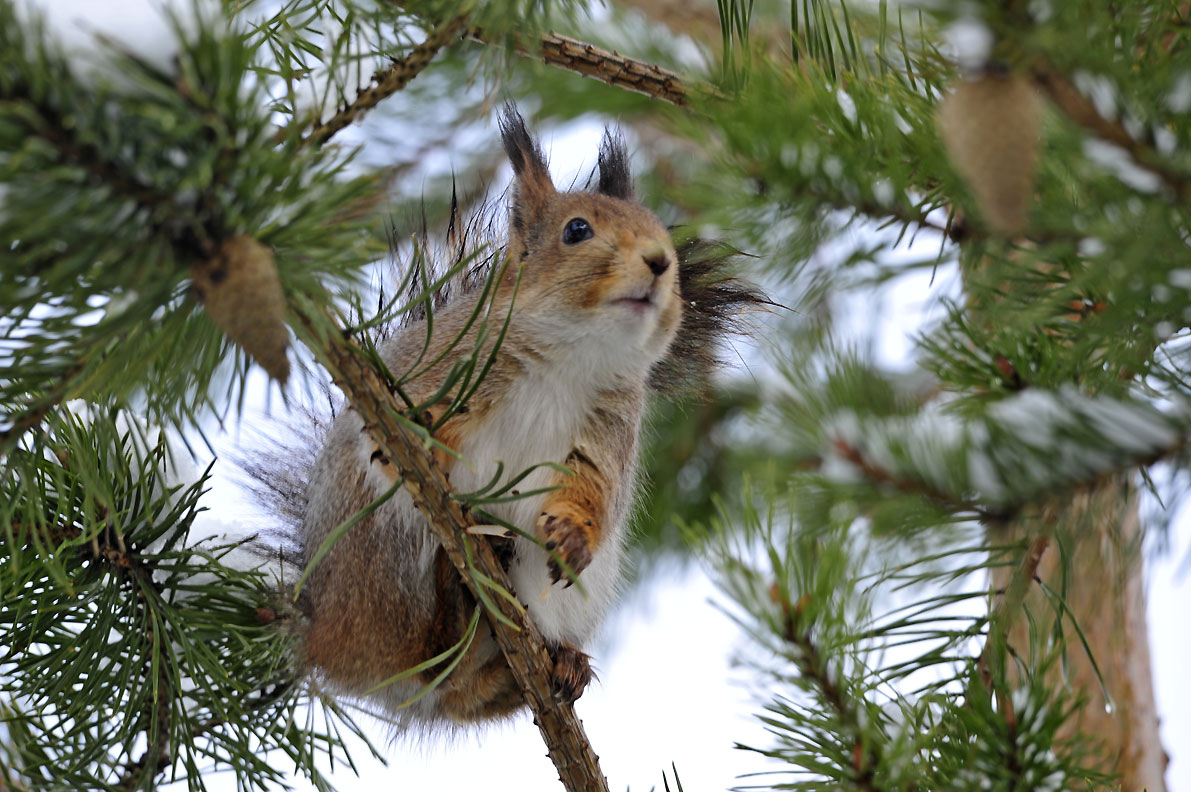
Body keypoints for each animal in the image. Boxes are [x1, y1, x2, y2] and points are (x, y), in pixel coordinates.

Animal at [256, 106, 767, 728]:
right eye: (577, 230)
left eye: (662, 233)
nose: (659, 261)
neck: (571, 358)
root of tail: (328, 637)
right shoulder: (450, 366)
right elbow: (410, 424)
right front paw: (411, 449)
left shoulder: (608, 431)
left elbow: (594, 490)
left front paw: (572, 535)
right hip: (381, 559)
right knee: (426, 648)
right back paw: (457, 594)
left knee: (463, 685)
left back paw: (552, 662)